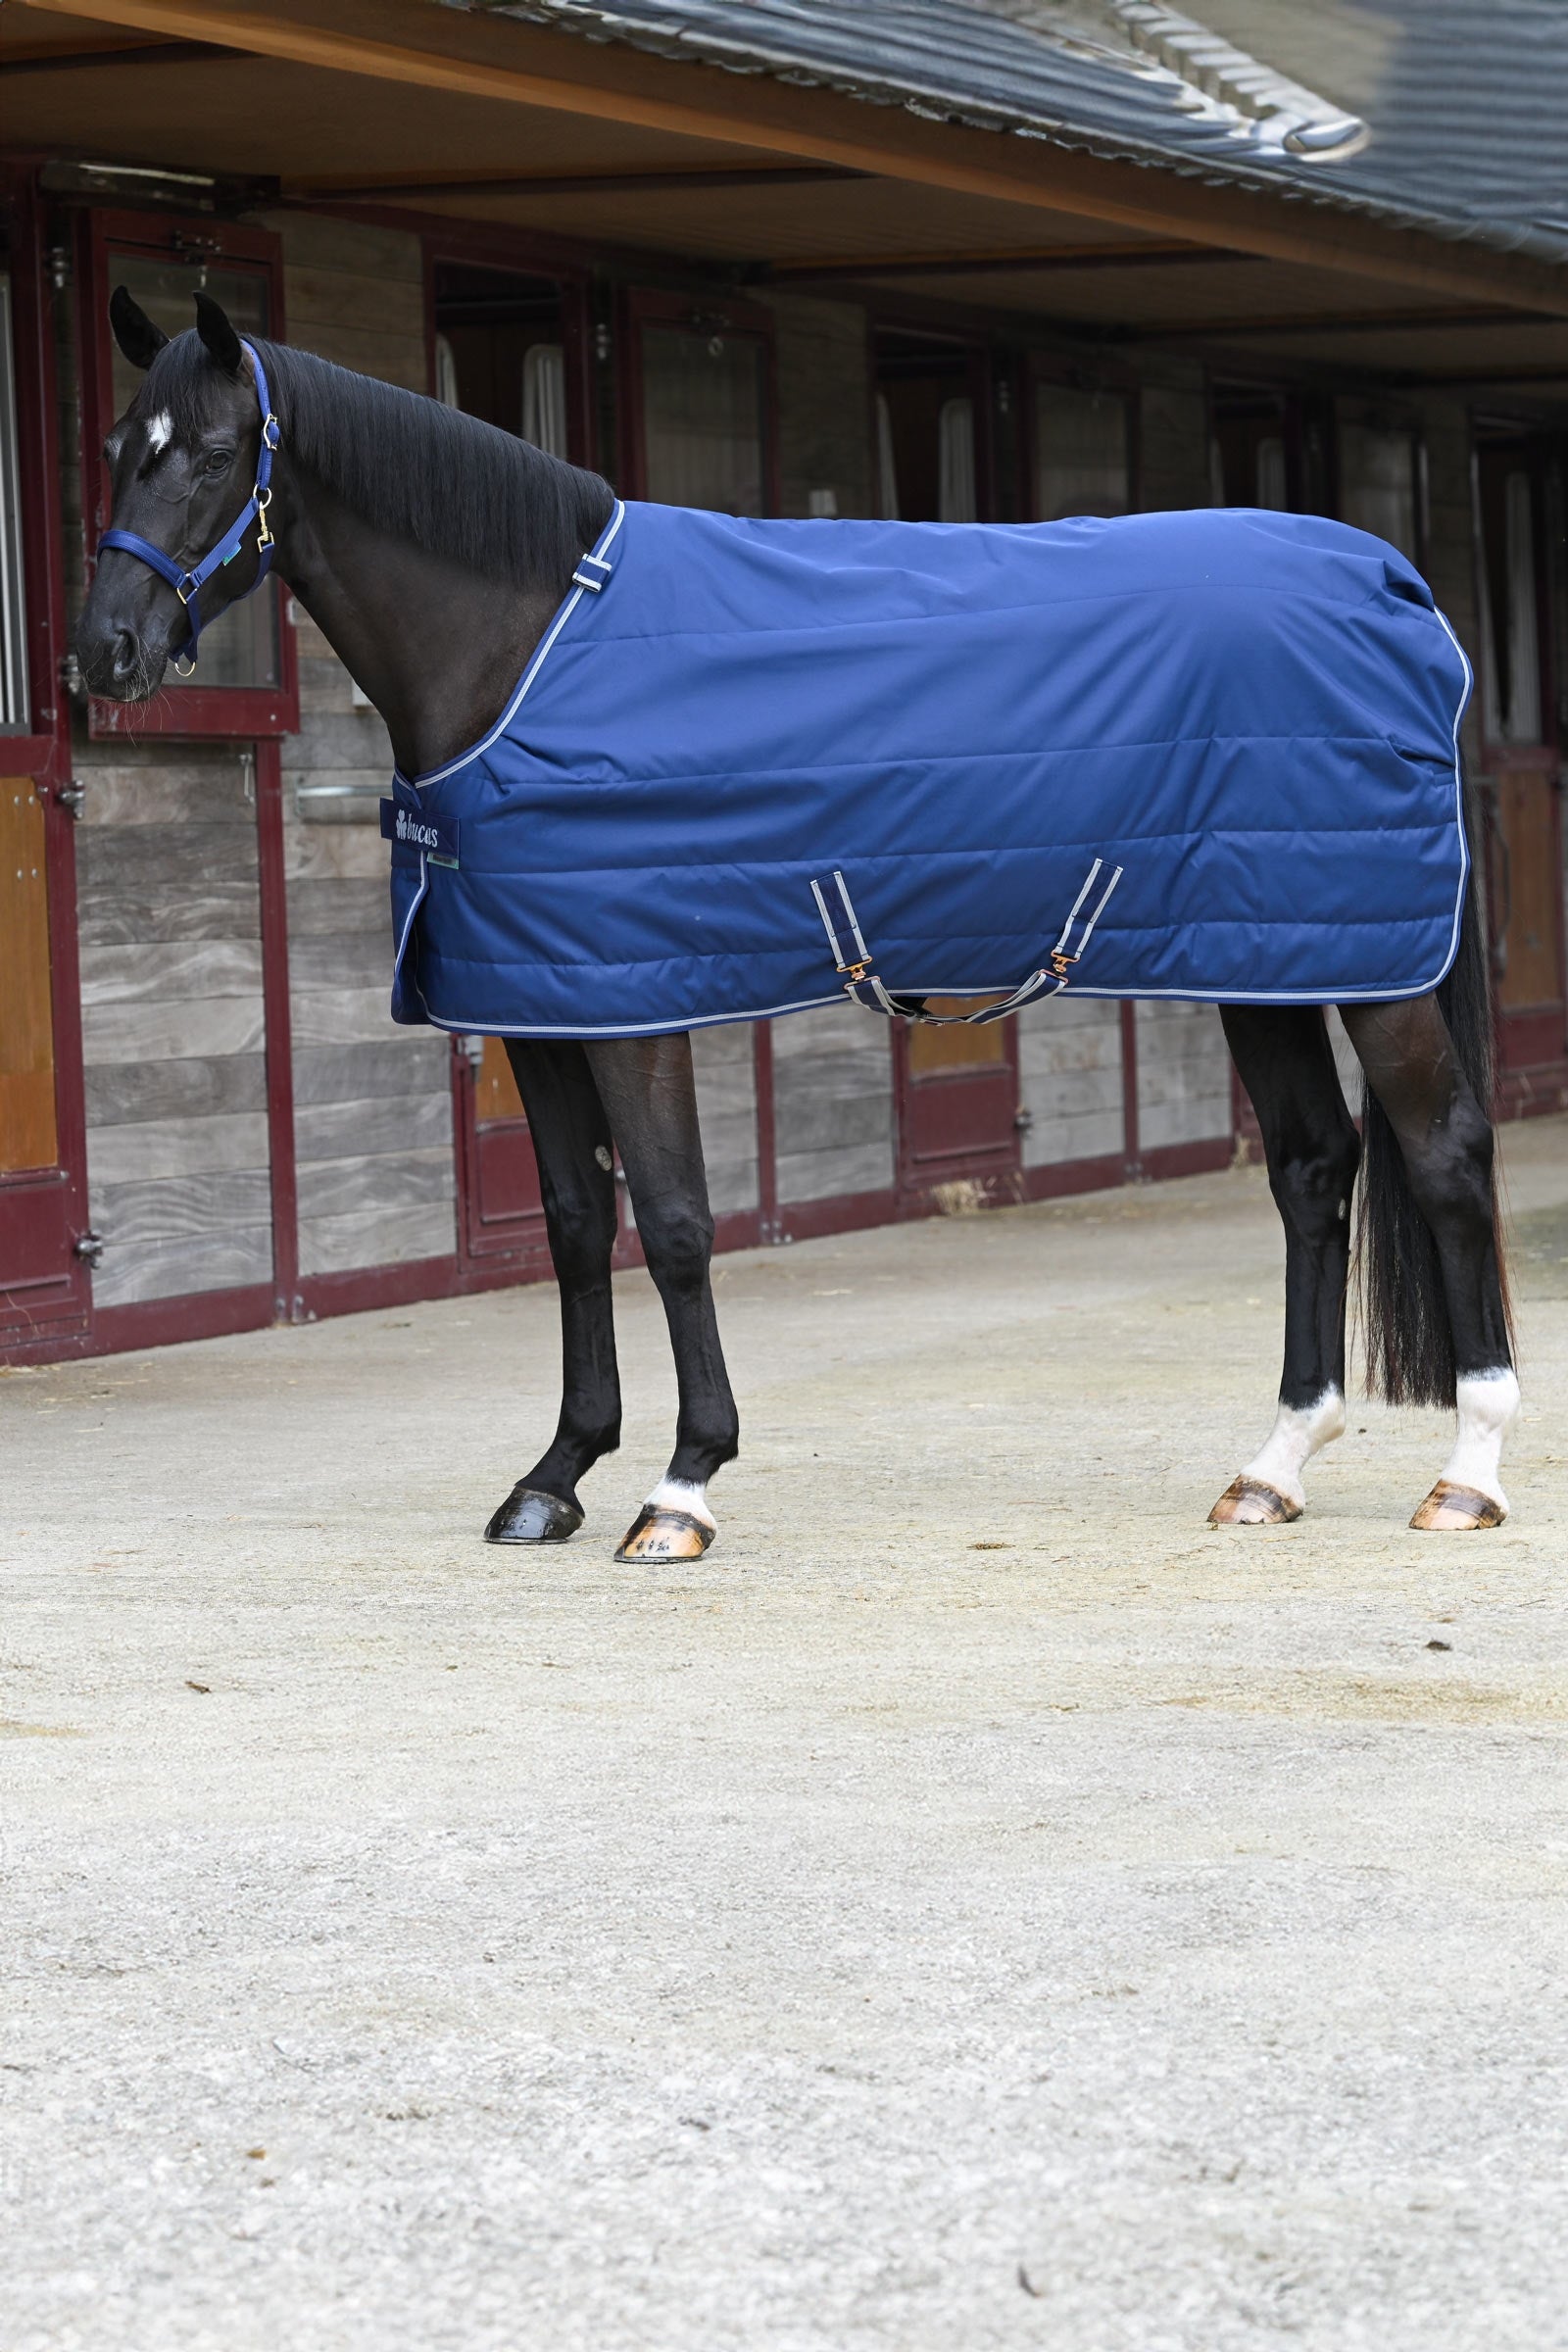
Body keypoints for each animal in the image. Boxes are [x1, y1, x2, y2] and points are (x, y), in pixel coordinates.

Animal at [74, 291, 1520, 1553]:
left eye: (212, 457)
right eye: (117, 449)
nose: (105, 654)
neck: (525, 646)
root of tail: (1394, 581)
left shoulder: (633, 1002)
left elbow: (672, 1223)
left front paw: (681, 1486)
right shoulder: (535, 1001)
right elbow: (574, 1224)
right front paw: (555, 1476)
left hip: (1375, 972)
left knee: (1442, 1155)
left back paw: (1468, 1472)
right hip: (1265, 957)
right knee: (1315, 1168)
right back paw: (1271, 1467)